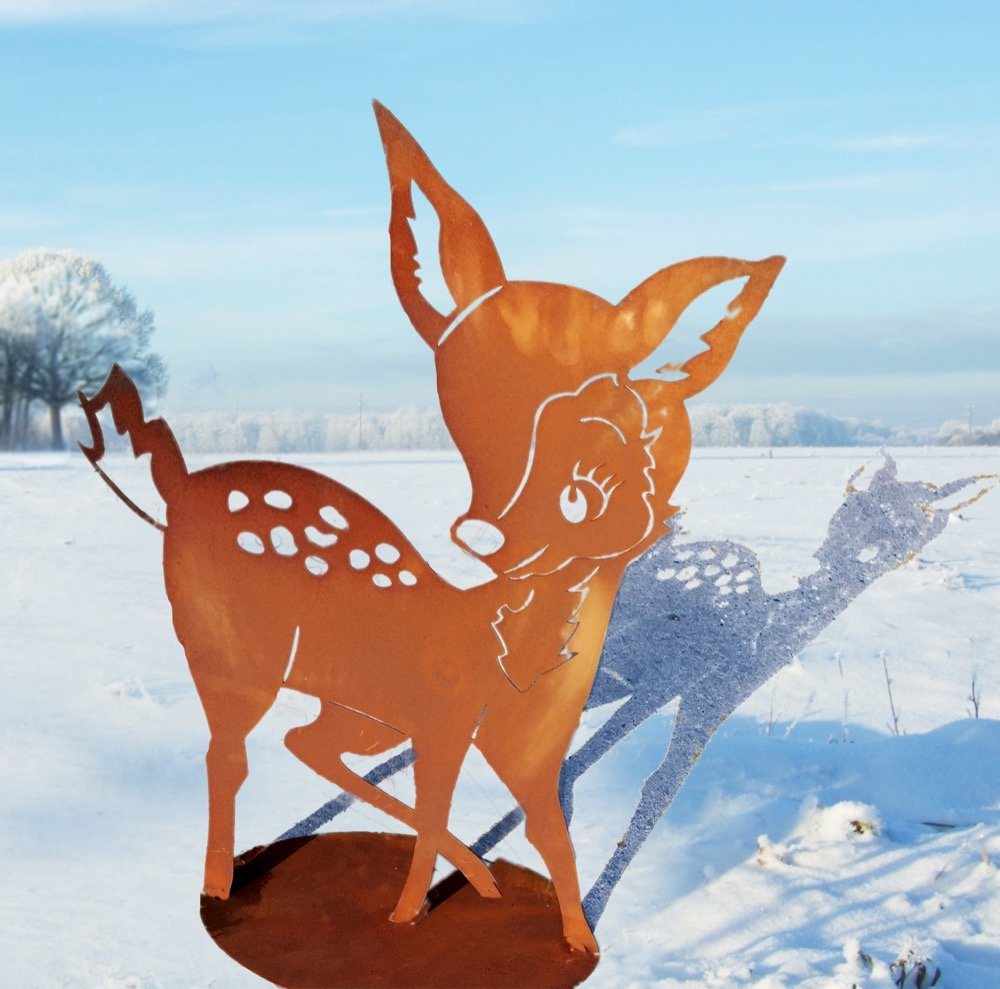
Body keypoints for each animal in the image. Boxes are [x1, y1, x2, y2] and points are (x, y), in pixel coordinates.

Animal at [79, 102, 785, 956]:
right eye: (468, 419)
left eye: (583, 489)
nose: (485, 534)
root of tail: (178, 489)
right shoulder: (444, 721)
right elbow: (451, 808)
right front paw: (408, 915)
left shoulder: (514, 748)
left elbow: (551, 834)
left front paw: (578, 939)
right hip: (231, 655)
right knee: (230, 755)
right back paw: (221, 888)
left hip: (347, 700)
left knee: (300, 742)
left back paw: (472, 878)